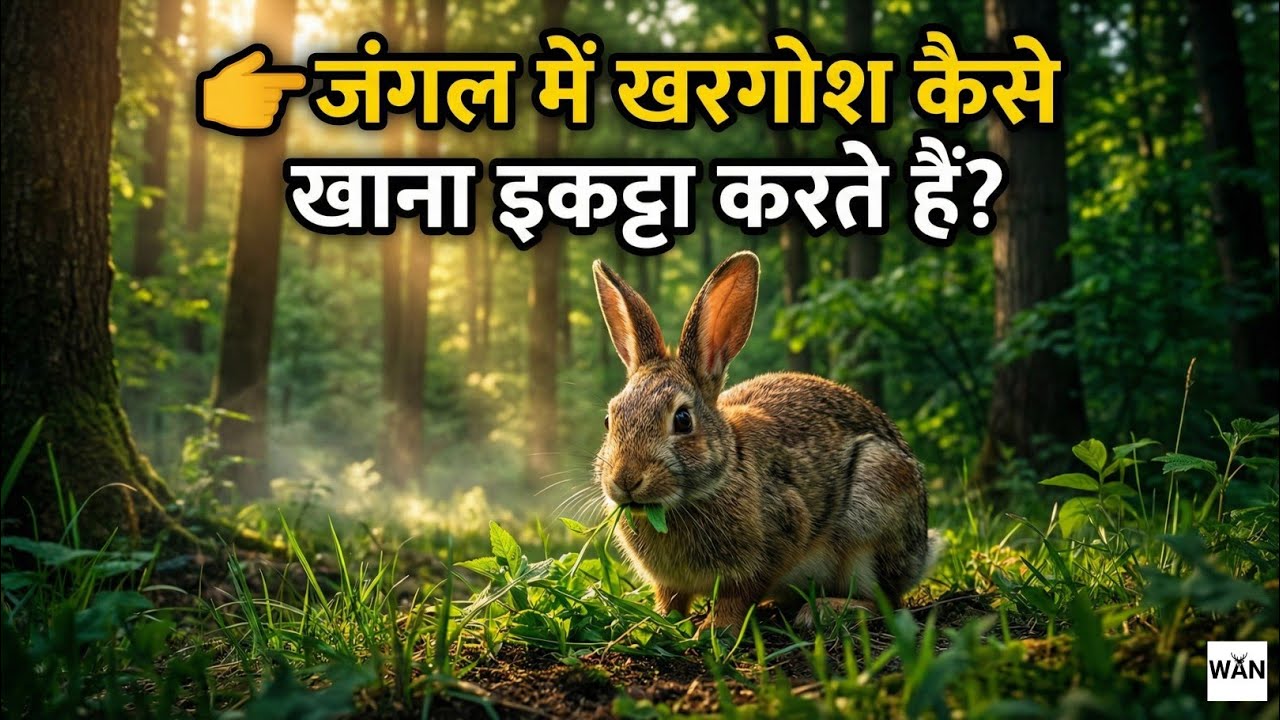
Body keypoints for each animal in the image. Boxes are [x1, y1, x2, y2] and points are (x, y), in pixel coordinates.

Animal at [591, 250, 943, 632]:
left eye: (683, 420)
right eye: (609, 419)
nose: (626, 480)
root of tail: (921, 552)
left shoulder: (774, 543)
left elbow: (738, 594)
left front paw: (715, 628)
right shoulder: (669, 583)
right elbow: (670, 600)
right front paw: (652, 623)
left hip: (873, 511)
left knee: (886, 602)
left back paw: (824, 610)